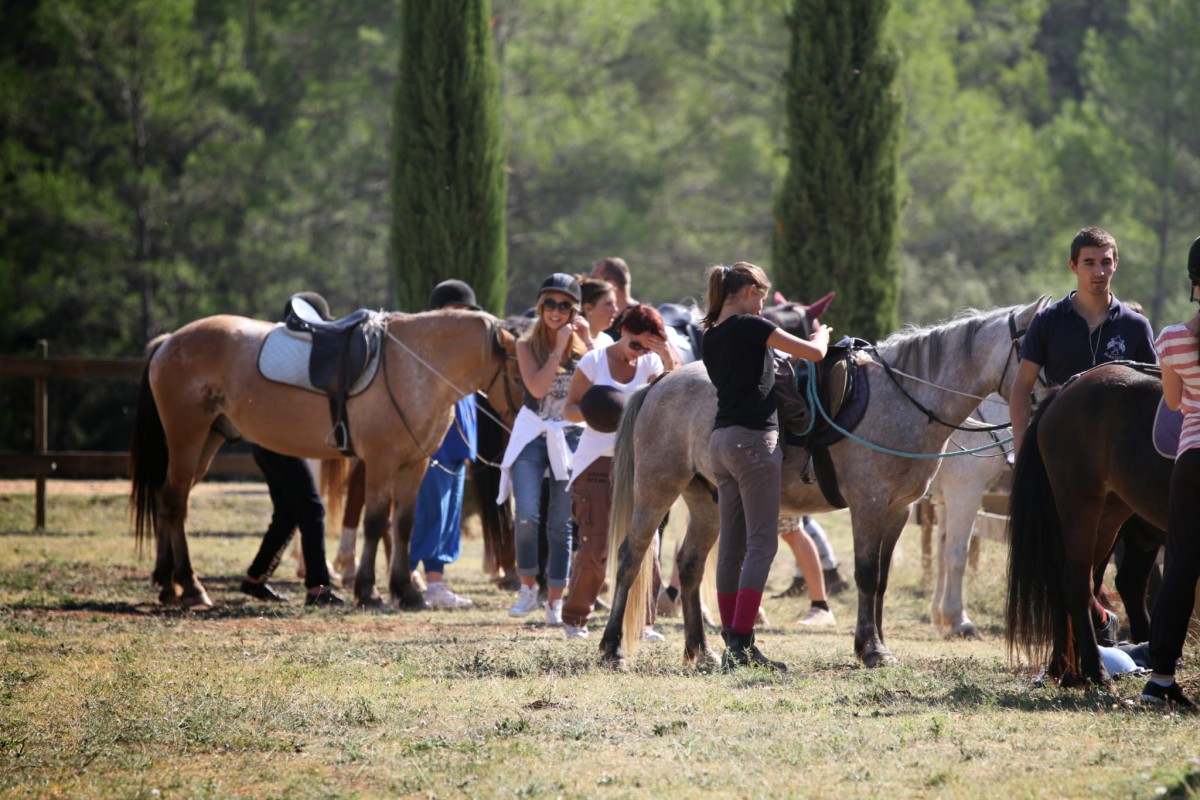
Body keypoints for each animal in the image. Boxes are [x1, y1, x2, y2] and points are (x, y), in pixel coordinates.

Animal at [129, 309, 522, 609]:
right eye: (520, 373)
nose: (527, 418)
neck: (413, 366)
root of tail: (168, 342)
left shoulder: (414, 465)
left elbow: (404, 525)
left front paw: (407, 592)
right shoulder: (381, 462)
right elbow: (375, 523)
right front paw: (368, 590)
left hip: (206, 443)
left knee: (167, 501)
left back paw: (169, 585)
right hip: (187, 439)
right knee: (176, 503)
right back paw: (191, 587)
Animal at [599, 298, 1048, 669]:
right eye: (1033, 348)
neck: (905, 400)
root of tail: (661, 381)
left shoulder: (899, 510)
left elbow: (882, 580)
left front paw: (877, 644)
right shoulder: (873, 504)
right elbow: (869, 574)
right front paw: (873, 649)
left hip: (707, 501)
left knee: (690, 565)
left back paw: (702, 650)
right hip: (656, 491)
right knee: (630, 558)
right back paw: (612, 647)